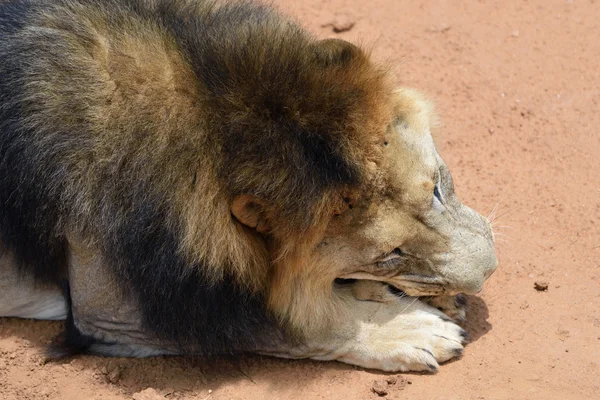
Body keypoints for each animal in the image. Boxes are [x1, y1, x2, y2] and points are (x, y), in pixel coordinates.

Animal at [0, 0, 496, 374]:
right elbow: (295, 325)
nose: (490, 269)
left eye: (437, 187)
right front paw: (410, 329)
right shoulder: (108, 313)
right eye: (389, 255)